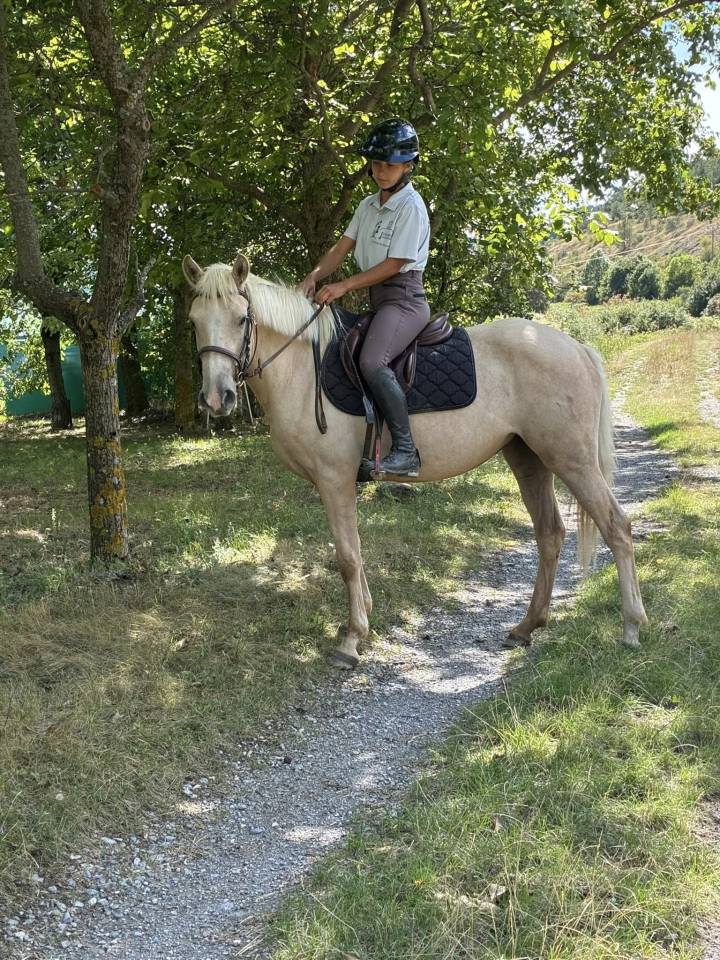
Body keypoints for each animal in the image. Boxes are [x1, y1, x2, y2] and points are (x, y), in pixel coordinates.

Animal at [181, 252, 648, 670]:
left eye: (241, 319)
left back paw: (631, 627)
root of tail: (576, 347)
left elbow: (347, 558)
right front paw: (363, 620)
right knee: (550, 534)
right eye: (194, 322)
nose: (216, 399)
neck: (303, 369)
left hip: (573, 460)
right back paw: (527, 626)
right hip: (529, 459)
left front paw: (352, 640)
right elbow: (355, 551)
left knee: (616, 528)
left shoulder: (335, 480)